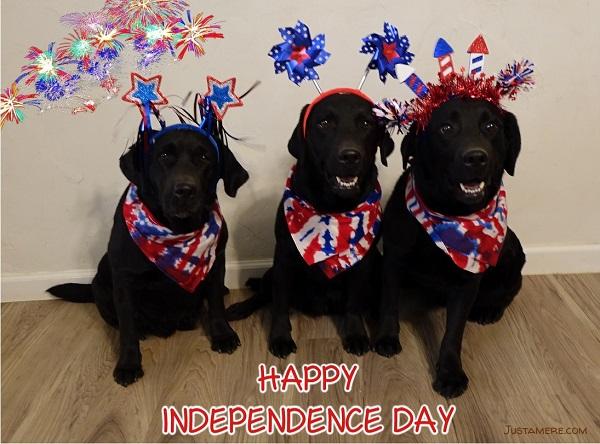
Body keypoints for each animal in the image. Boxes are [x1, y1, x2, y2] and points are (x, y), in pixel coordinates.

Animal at [48, 127, 250, 386]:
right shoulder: (123, 280)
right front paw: (128, 364)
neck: (175, 230)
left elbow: (216, 303)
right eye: (164, 155)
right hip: (101, 283)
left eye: (204, 157)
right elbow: (127, 327)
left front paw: (223, 335)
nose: (185, 190)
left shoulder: (216, 265)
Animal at [225, 92, 394, 360]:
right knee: (264, 292)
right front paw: (280, 338)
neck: (332, 208)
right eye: (324, 123)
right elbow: (280, 303)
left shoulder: (362, 258)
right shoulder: (284, 255)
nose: (350, 156)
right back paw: (240, 307)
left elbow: (354, 302)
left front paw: (356, 334)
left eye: (366, 123)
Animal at [380, 99, 524, 398]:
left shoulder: (467, 281)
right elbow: (389, 302)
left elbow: (453, 333)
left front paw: (450, 373)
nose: (476, 157)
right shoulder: (393, 259)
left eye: (491, 125)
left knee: (510, 290)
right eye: (446, 128)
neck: (449, 213)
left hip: (512, 250)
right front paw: (386, 338)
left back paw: (489, 311)